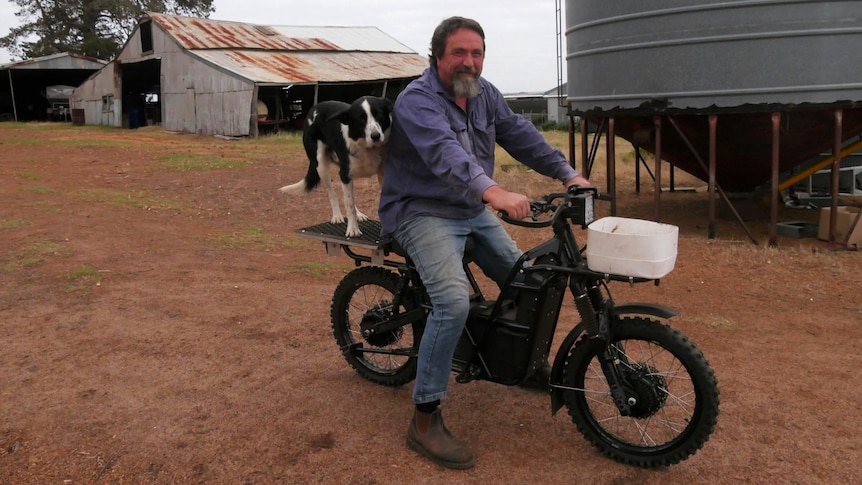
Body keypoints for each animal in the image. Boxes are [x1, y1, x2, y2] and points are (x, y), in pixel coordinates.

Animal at [280, 95, 394, 237]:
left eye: (379, 115)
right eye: (361, 119)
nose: (375, 136)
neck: (368, 148)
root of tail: (314, 109)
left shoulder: (381, 174)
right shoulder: (345, 174)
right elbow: (349, 204)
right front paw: (353, 229)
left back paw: (358, 214)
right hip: (321, 165)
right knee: (331, 193)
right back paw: (337, 216)